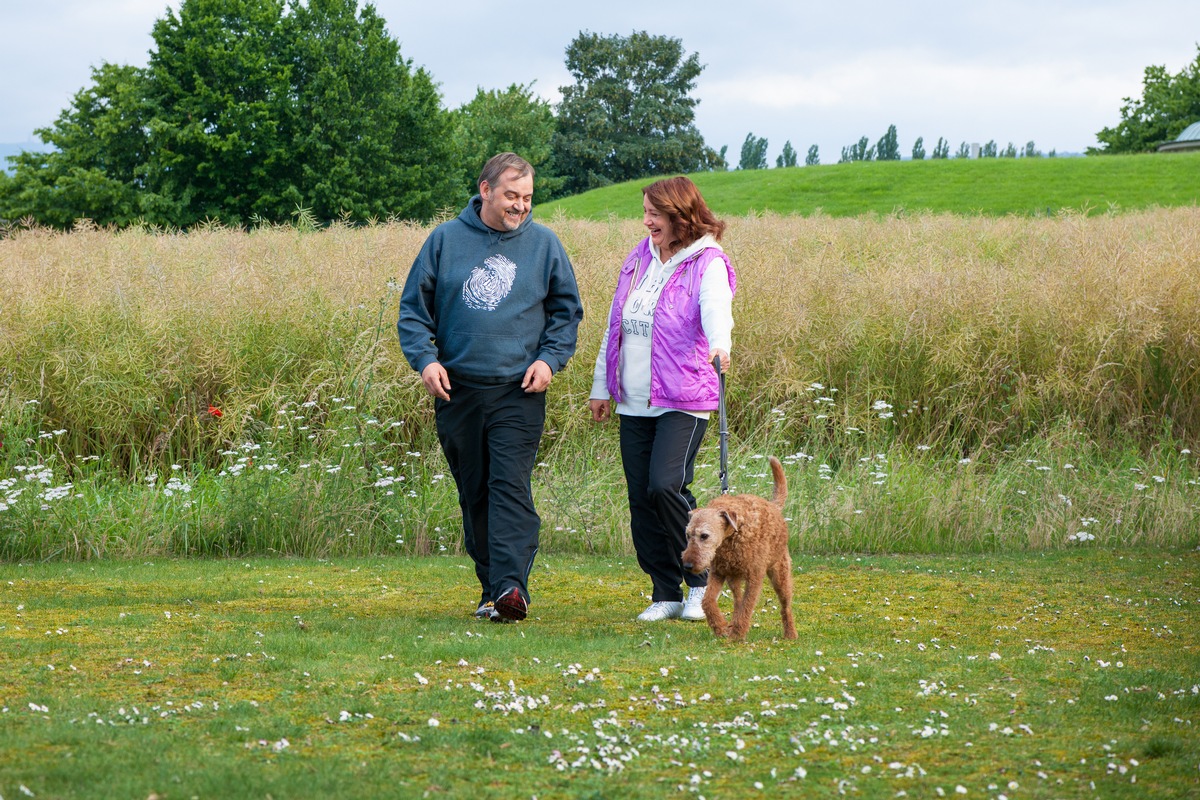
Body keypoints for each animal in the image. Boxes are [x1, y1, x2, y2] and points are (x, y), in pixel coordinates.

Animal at [681, 460, 792, 642]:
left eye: (704, 535)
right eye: (688, 535)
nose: (688, 565)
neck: (734, 534)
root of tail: (774, 506)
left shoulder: (754, 577)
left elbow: (747, 606)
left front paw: (738, 634)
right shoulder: (718, 572)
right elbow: (708, 601)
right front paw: (720, 627)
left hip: (780, 573)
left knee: (785, 605)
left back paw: (791, 633)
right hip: (733, 578)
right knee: (737, 600)